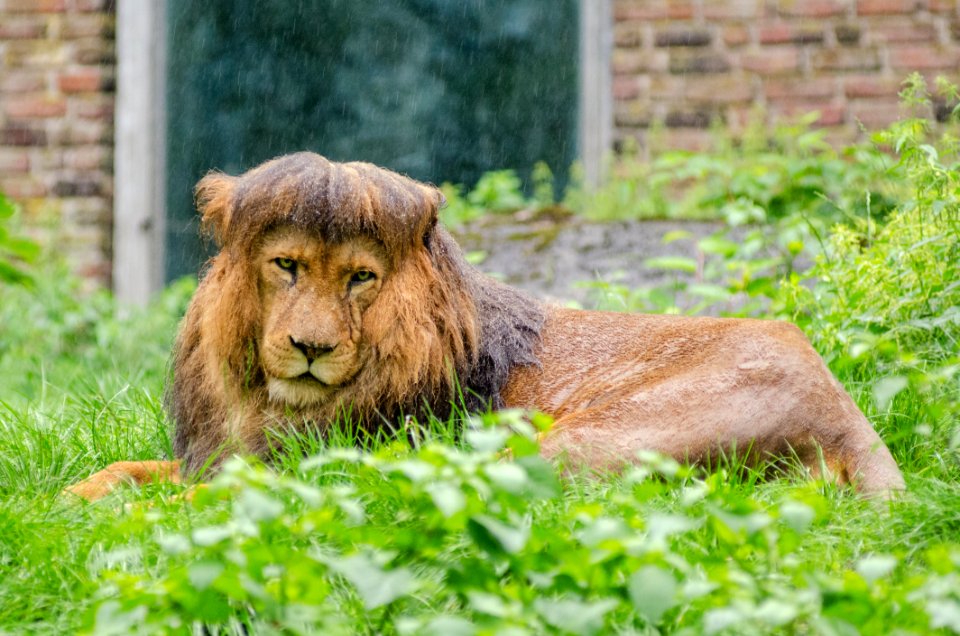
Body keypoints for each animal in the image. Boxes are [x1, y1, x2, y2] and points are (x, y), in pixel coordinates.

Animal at [65, 153, 900, 502]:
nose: (310, 349)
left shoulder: (310, 463)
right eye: (287, 266)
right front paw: (75, 496)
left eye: (360, 278)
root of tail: (846, 409)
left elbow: (192, 504)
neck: (269, 402)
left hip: (568, 444)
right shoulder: (217, 455)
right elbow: (129, 471)